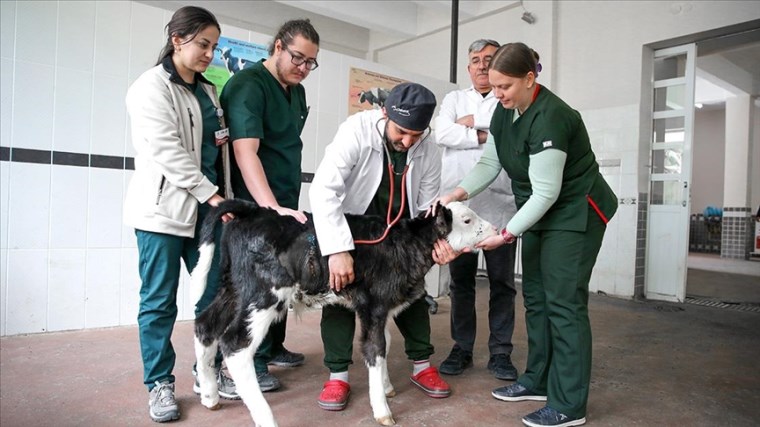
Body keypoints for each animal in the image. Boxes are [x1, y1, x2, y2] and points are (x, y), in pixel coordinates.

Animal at [191, 201, 492, 427]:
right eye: (466, 220)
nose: (494, 228)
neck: (405, 244)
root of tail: (252, 210)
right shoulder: (374, 305)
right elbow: (375, 349)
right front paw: (382, 410)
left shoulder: (381, 309)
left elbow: (385, 344)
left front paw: (386, 387)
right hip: (264, 295)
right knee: (235, 345)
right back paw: (266, 418)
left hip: (233, 288)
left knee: (205, 325)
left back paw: (209, 396)